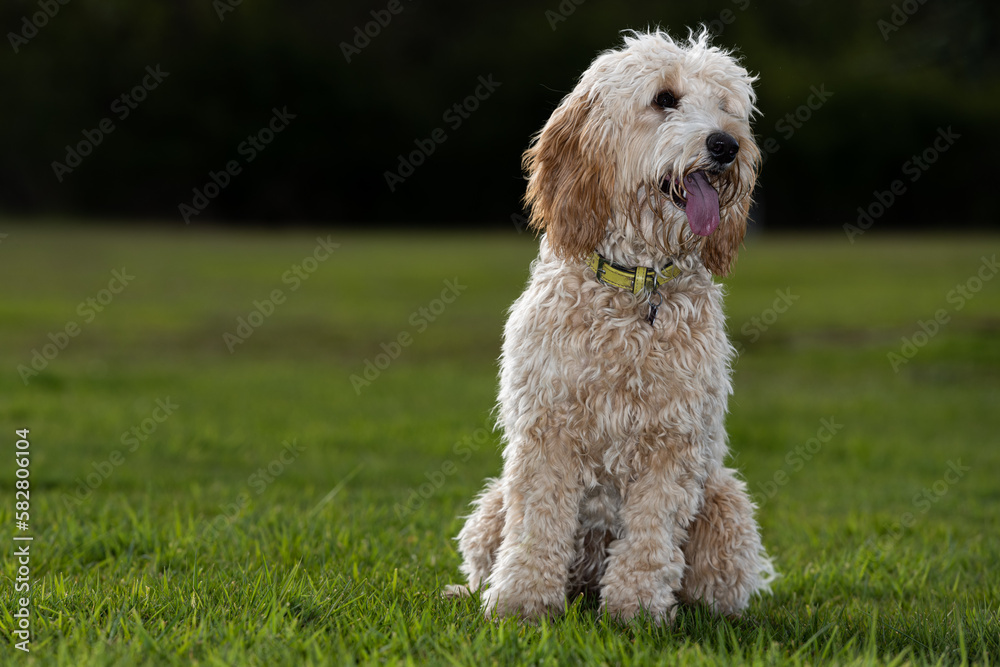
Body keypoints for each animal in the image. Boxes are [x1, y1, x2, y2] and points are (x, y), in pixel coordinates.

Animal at [446, 28, 772, 624]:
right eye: (665, 99)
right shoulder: (547, 433)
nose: (727, 145)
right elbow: (537, 528)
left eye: (726, 105)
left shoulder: (673, 443)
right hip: (491, 508)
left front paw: (637, 610)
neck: (636, 290)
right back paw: (470, 592)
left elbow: (650, 537)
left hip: (726, 508)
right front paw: (521, 603)